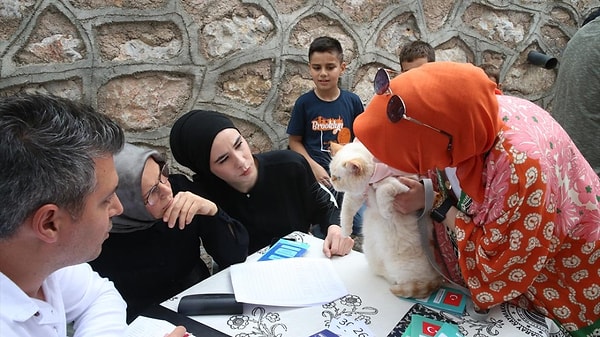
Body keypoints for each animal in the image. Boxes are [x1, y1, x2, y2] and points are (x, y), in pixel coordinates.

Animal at [330, 140, 442, 298]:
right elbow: (345, 211)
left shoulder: (403, 187)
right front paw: (345, 232)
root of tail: (438, 276)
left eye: (338, 177)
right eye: (331, 174)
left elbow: (383, 190)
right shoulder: (357, 196)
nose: (331, 181)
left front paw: (386, 212)